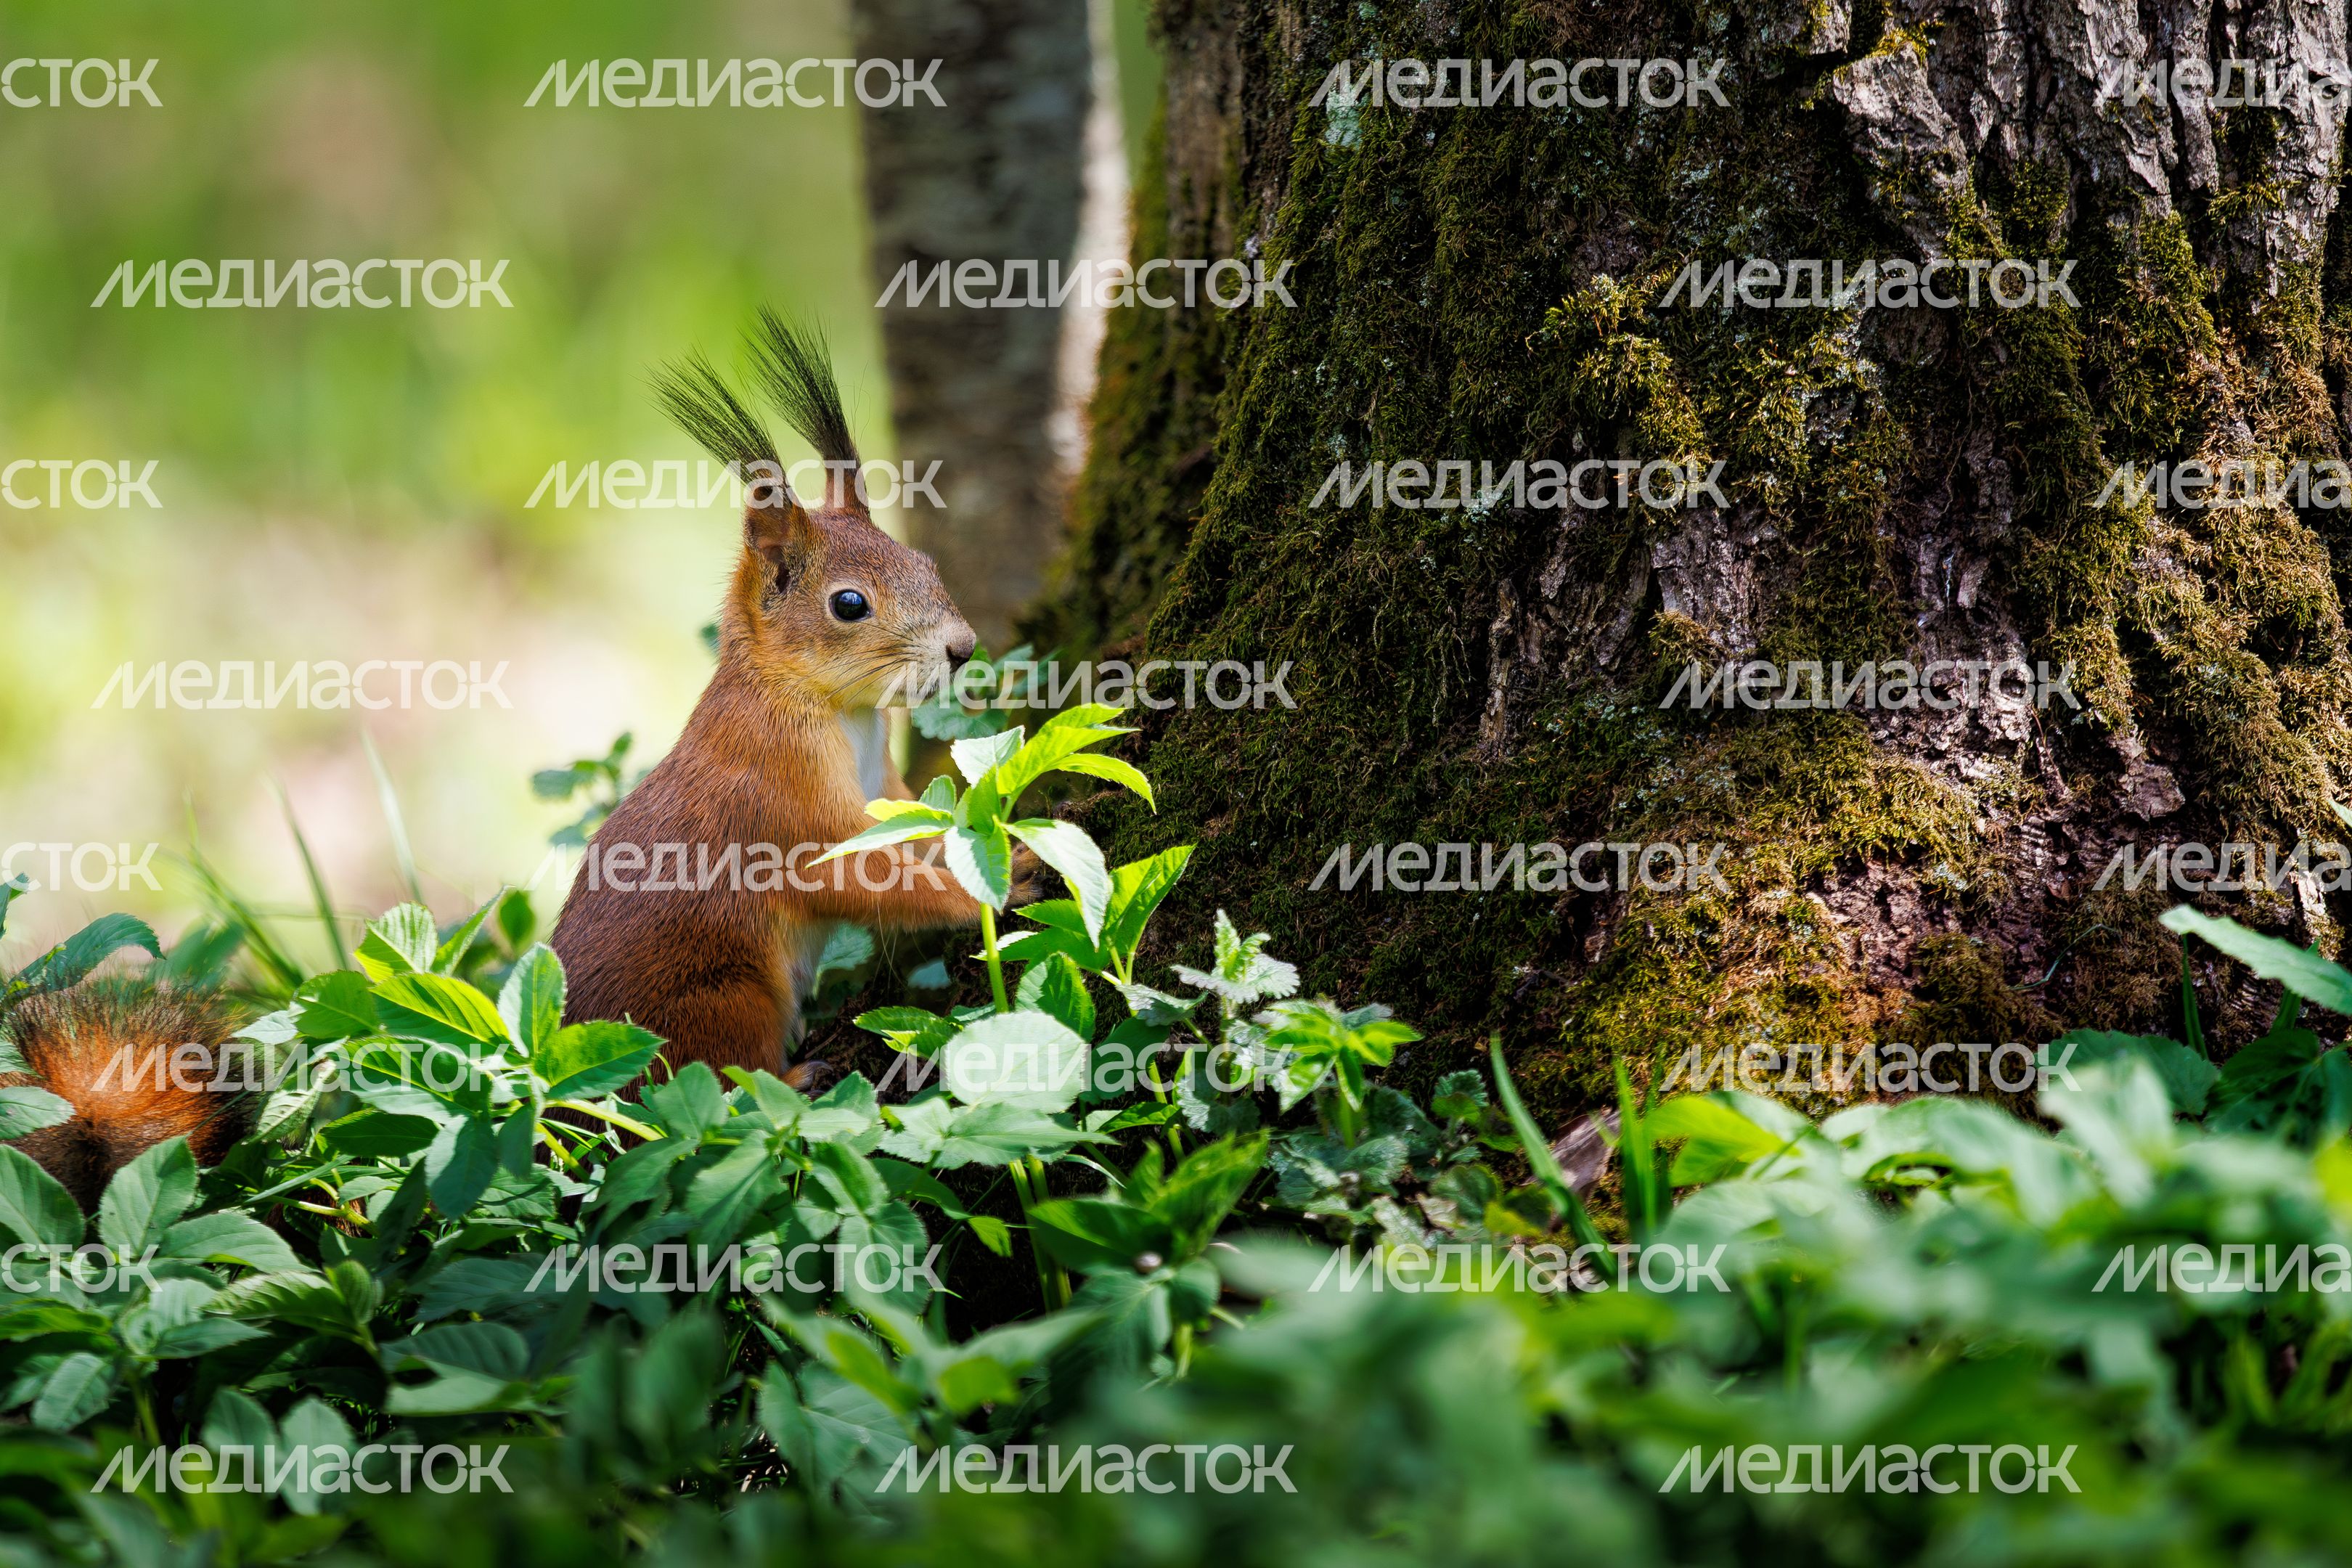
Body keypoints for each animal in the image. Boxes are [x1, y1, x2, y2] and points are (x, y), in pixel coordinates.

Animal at [549, 312, 1031, 1081]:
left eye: (925, 562)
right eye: (849, 604)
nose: (963, 648)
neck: (842, 712)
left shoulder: (884, 785)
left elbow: (920, 831)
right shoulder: (787, 799)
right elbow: (872, 876)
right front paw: (1000, 886)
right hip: (726, 999)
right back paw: (798, 1074)